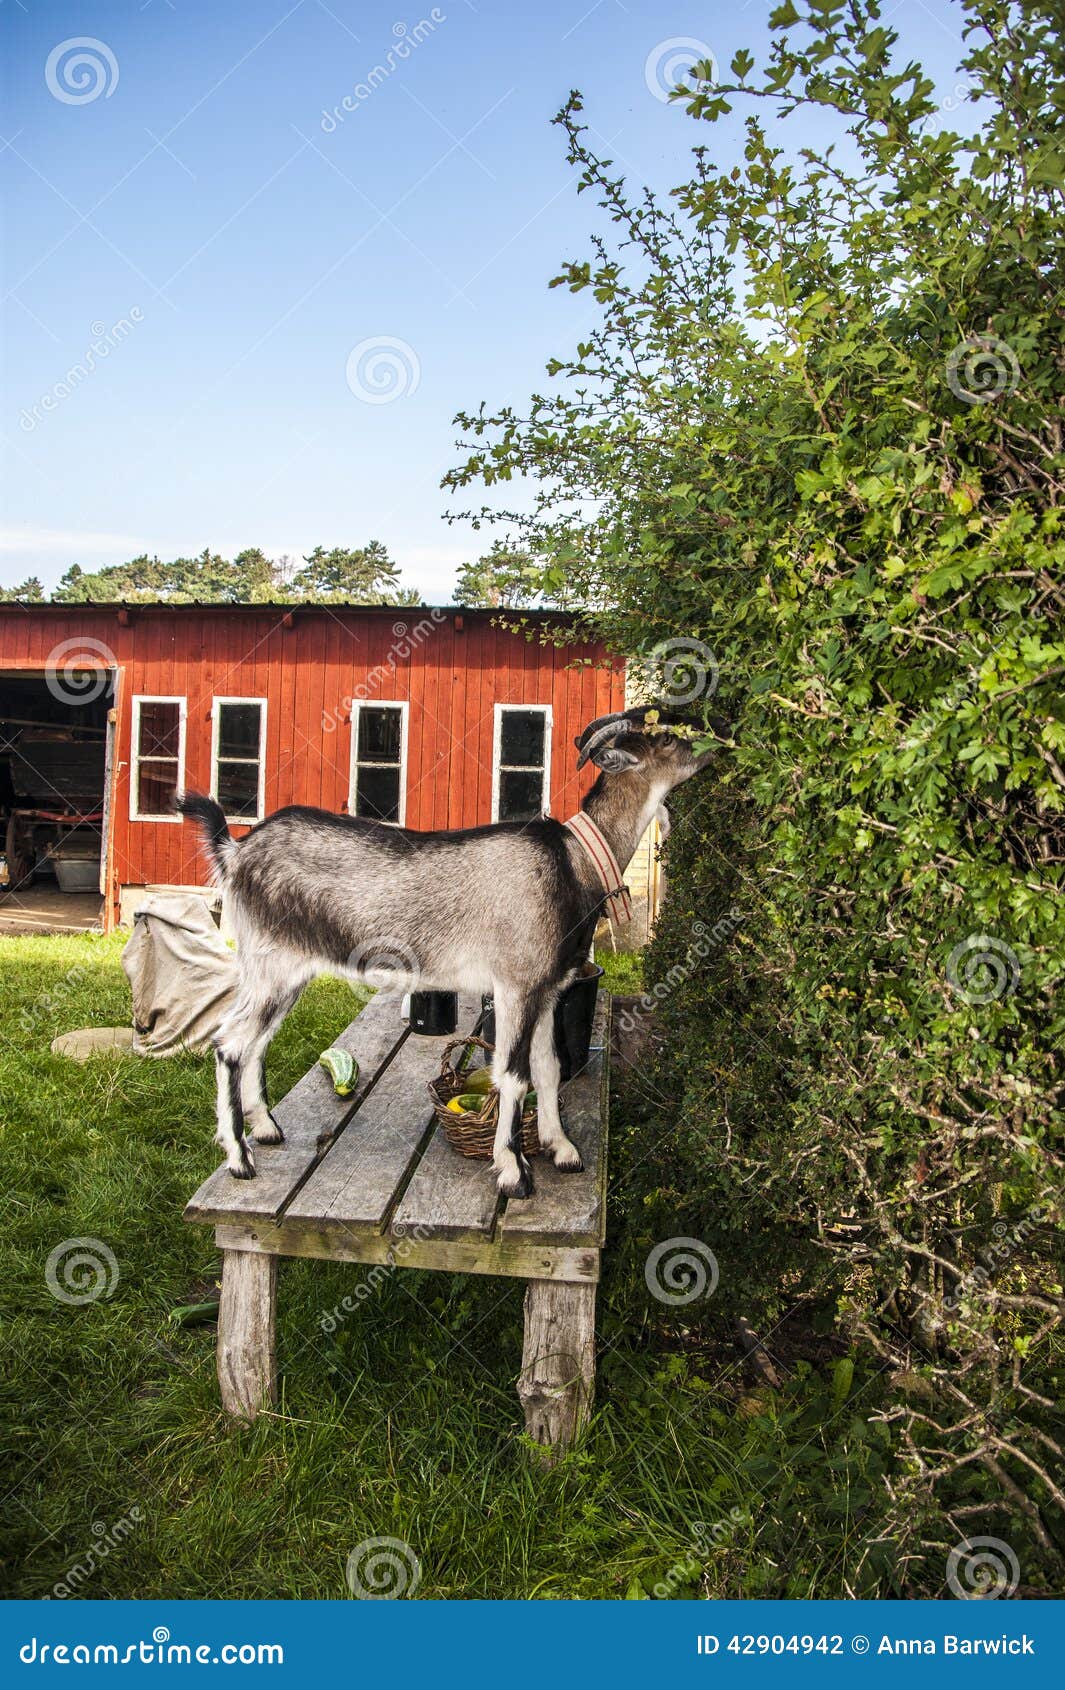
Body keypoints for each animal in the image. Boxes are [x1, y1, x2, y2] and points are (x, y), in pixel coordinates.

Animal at [178, 705, 721, 1198]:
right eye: (667, 739)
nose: (714, 742)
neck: (575, 862)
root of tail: (237, 852)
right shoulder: (517, 985)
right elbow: (513, 1075)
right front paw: (514, 1171)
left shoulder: (549, 989)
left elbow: (549, 1067)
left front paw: (561, 1148)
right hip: (271, 965)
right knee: (229, 1043)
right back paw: (239, 1158)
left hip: (282, 972)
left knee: (257, 1041)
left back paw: (266, 1128)